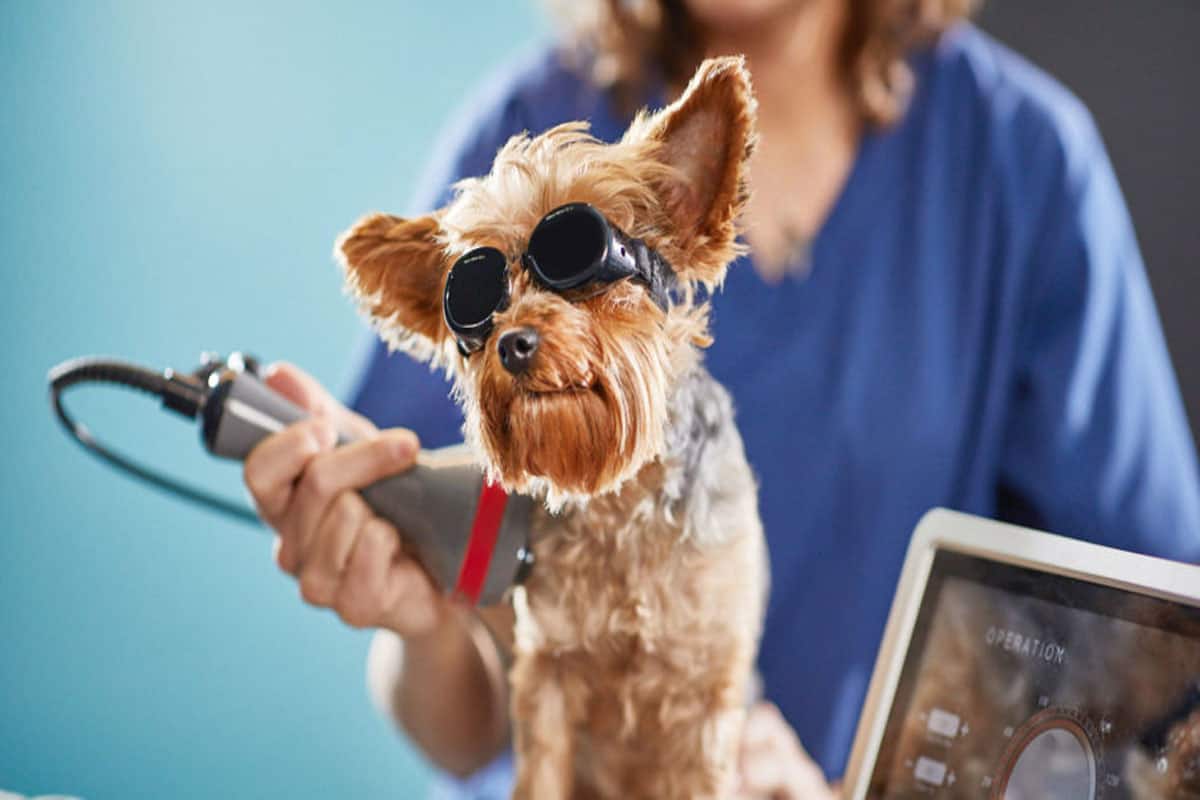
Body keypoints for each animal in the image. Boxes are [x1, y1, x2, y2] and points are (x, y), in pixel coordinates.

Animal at [338, 56, 768, 800]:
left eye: (579, 260)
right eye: (473, 299)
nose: (512, 343)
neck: (621, 501)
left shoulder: (705, 693)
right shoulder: (549, 671)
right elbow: (540, 767)